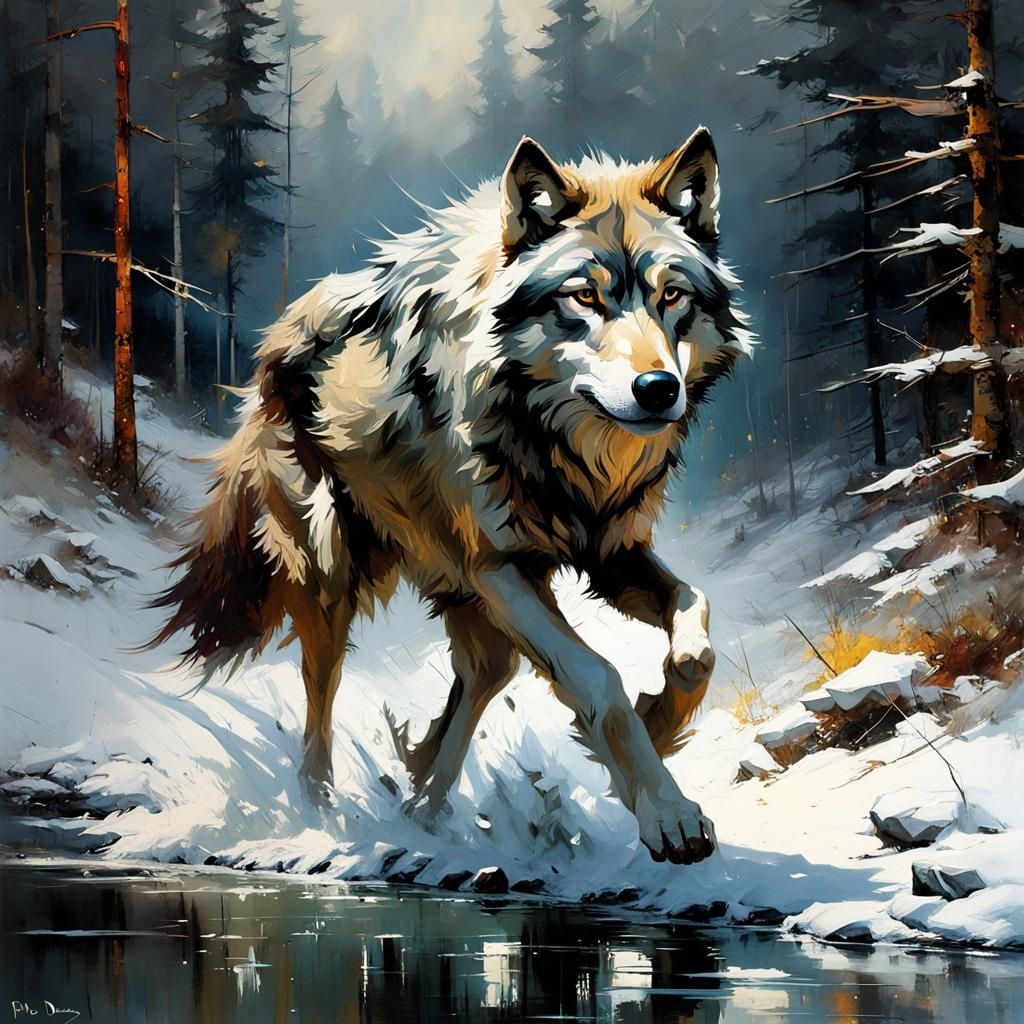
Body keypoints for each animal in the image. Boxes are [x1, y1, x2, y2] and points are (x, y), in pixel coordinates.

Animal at [153, 127, 752, 865]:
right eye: (584, 298)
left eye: (672, 296)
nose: (658, 389)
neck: (564, 450)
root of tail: (275, 340)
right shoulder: (502, 566)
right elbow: (598, 677)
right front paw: (667, 811)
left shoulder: (609, 551)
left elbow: (696, 632)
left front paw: (662, 722)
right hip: (334, 575)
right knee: (320, 700)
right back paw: (323, 815)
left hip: (463, 595)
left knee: (480, 677)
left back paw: (424, 809)